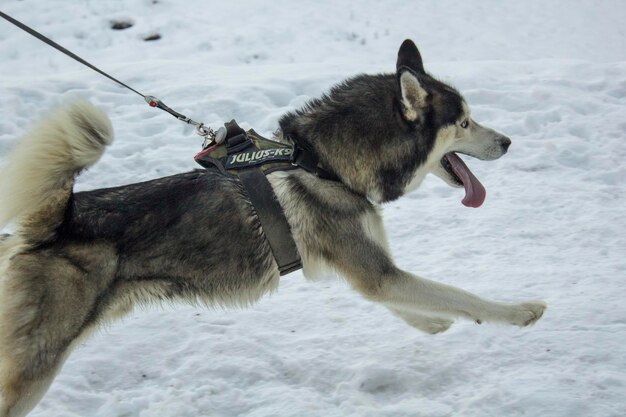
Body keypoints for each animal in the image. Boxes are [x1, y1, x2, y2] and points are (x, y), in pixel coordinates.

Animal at [0, 39, 540, 416]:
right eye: (465, 122)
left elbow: (414, 301)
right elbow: (461, 296)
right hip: (33, 367)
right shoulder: (375, 270)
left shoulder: (365, 271)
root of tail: (53, 223)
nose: (509, 141)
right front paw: (519, 312)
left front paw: (431, 323)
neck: (322, 163)